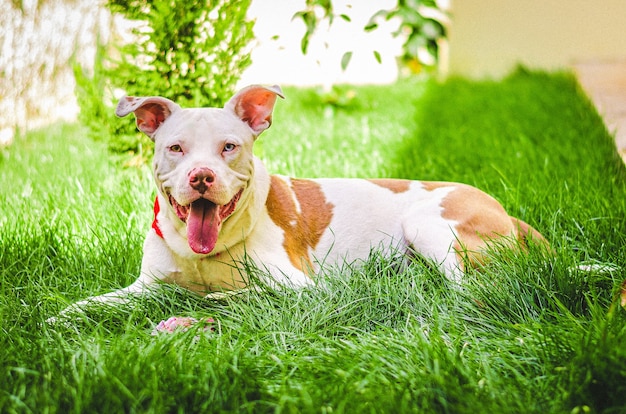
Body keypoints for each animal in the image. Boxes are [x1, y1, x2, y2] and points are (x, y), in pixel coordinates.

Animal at [50, 82, 544, 318]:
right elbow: (92, 304)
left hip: (428, 224)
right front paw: (58, 320)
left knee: (466, 289)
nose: (201, 176)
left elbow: (235, 294)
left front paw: (210, 299)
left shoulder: (298, 286)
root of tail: (508, 214)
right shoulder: (144, 287)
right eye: (176, 148)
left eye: (229, 147)